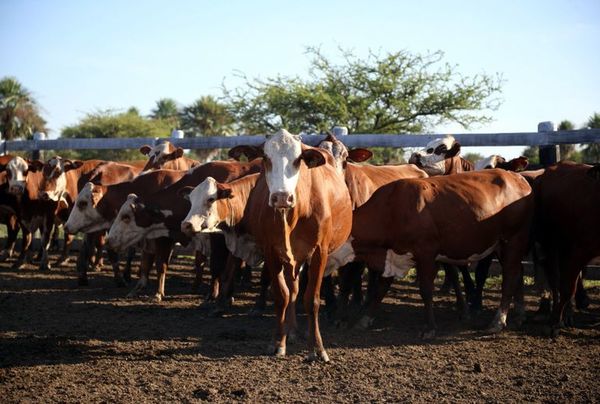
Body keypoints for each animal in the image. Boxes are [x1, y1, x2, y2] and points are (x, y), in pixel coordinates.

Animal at [227, 130, 354, 362]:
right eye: (266, 158)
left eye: (298, 160)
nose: (282, 197)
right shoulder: (271, 252)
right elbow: (282, 295)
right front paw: (278, 342)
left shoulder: (319, 252)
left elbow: (312, 299)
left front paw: (317, 348)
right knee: (292, 290)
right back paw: (291, 330)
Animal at [328, 169, 536, 336]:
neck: (392, 209)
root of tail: (518, 177)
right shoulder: (395, 255)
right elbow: (381, 289)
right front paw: (364, 320)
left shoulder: (425, 254)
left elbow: (426, 291)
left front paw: (430, 328)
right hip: (501, 245)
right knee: (517, 273)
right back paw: (519, 315)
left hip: (514, 240)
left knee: (510, 276)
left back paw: (498, 321)